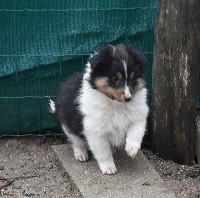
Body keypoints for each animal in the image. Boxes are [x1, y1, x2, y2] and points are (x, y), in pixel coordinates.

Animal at [49, 44, 148, 175]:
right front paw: (108, 168)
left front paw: (132, 149)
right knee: (76, 140)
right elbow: (103, 152)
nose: (128, 98)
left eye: (132, 79)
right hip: (69, 124)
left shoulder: (138, 116)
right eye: (114, 78)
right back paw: (81, 154)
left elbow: (136, 132)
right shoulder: (95, 131)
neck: (116, 104)